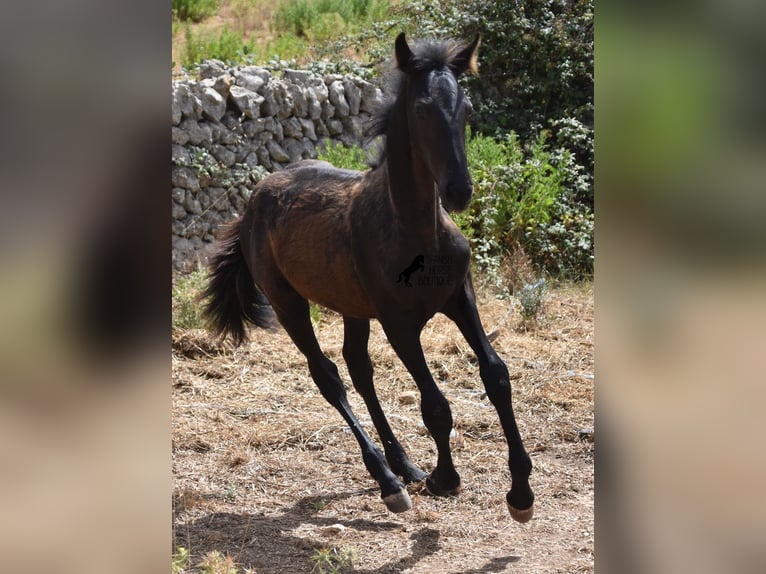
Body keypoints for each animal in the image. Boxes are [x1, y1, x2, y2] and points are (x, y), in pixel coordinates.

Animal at [202, 33, 536, 524]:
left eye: (468, 108)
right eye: (421, 110)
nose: (459, 191)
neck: (417, 233)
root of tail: (254, 199)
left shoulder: (460, 298)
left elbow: (496, 376)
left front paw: (521, 493)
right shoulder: (399, 324)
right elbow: (435, 405)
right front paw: (445, 479)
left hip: (352, 307)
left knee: (359, 369)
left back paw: (404, 466)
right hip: (287, 302)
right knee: (329, 376)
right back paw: (389, 481)